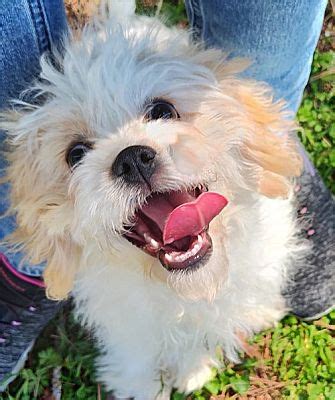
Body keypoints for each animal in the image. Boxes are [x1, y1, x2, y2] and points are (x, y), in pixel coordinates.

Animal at [2, 1, 308, 398]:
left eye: (163, 111)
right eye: (75, 154)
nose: (131, 159)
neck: (186, 290)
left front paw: (194, 368)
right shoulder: (128, 331)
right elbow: (139, 368)